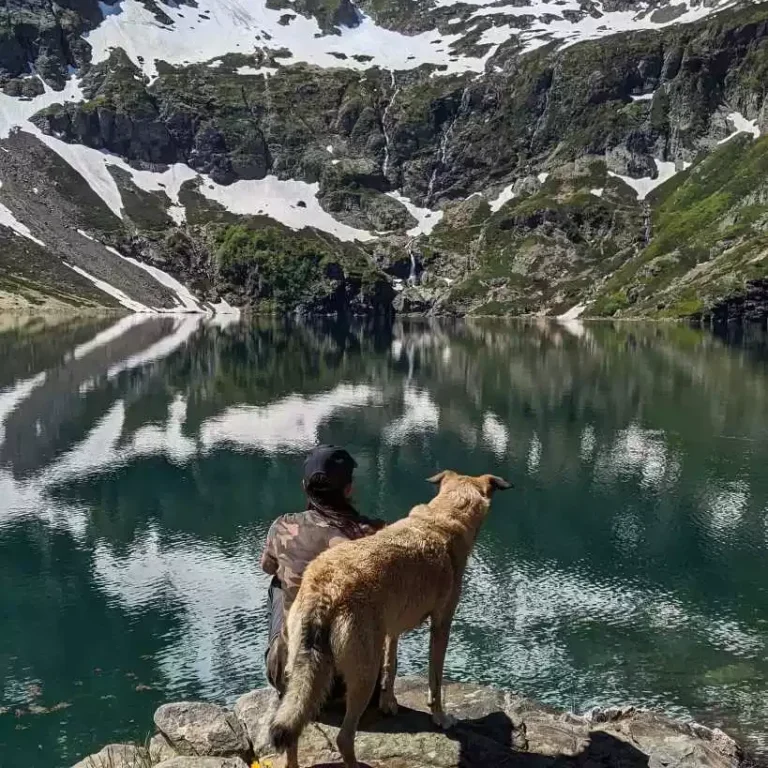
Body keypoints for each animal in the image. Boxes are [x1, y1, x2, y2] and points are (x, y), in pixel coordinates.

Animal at [268, 468, 512, 768]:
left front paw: (389, 702)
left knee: (293, 729)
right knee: (344, 737)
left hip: (301, 667)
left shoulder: (391, 627)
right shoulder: (441, 624)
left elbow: (392, 665)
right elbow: (435, 679)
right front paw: (440, 717)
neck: (444, 518)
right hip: (362, 673)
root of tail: (326, 589)